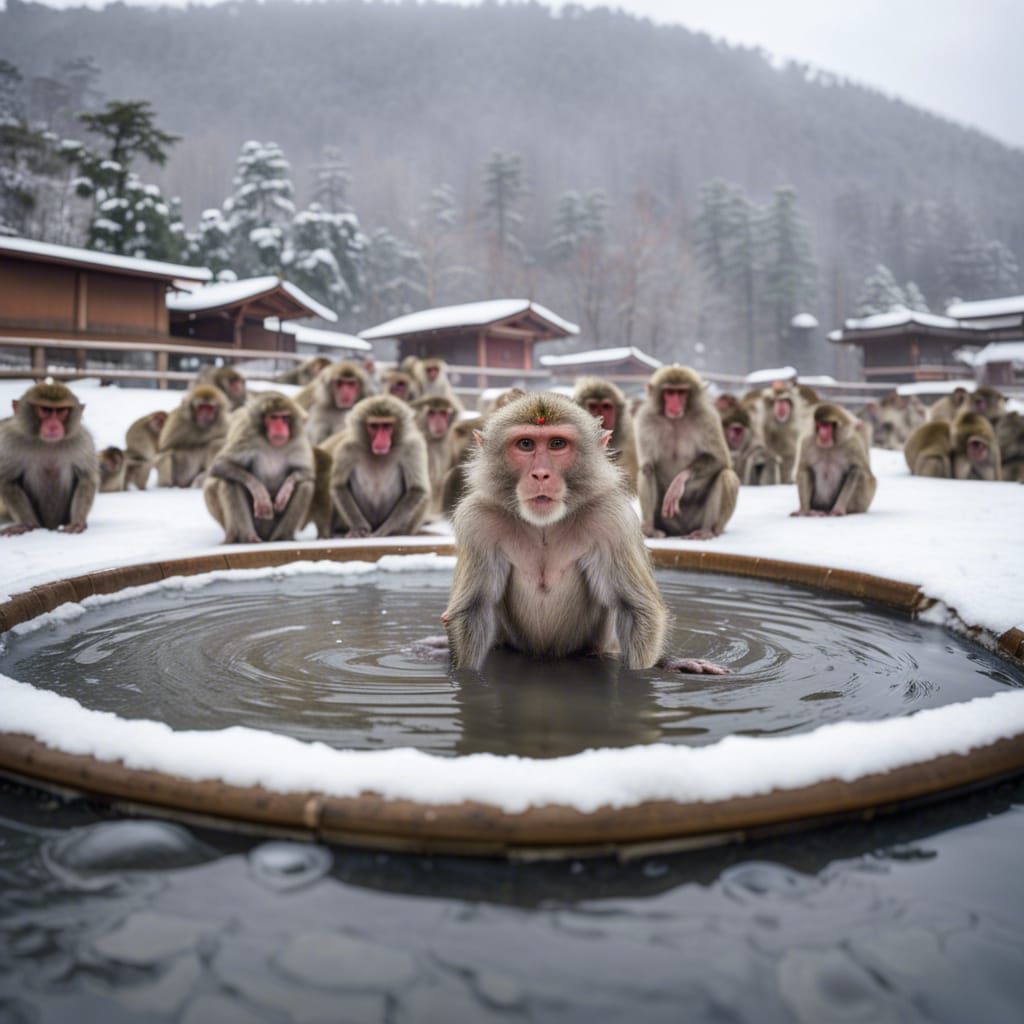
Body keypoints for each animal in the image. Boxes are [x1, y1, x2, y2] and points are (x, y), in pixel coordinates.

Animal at [0, 382, 99, 536]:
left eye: (61, 411)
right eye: (45, 410)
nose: (53, 425)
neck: (48, 443)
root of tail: (49, 526)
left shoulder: (82, 441)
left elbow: (85, 479)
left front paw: (77, 522)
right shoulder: (9, 441)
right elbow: (9, 481)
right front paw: (27, 524)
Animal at [204, 392, 315, 543]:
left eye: (284, 418)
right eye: (273, 418)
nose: (280, 428)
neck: (271, 443)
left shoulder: (298, 441)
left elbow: (307, 473)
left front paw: (285, 490)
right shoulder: (247, 435)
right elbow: (221, 464)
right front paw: (259, 491)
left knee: (305, 485)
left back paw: (281, 537)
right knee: (230, 481)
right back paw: (247, 537)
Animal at [327, 394, 429, 537]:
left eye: (387, 426)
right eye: (374, 426)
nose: (381, 440)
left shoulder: (412, 447)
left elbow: (417, 489)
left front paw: (383, 531)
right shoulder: (348, 448)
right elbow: (339, 486)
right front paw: (360, 528)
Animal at [441, 392, 727, 675]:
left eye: (557, 444)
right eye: (525, 444)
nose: (541, 474)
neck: (544, 524)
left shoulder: (612, 519)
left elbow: (636, 609)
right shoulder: (477, 521)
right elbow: (474, 609)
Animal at [635, 365, 740, 539]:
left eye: (681, 392)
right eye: (669, 392)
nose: (675, 405)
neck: (676, 420)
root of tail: (681, 531)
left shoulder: (707, 418)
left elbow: (720, 459)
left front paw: (679, 480)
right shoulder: (646, 420)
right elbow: (648, 466)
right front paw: (648, 528)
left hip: (697, 520)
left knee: (726, 475)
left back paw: (707, 531)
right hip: (665, 520)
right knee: (647, 470)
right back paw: (651, 529)